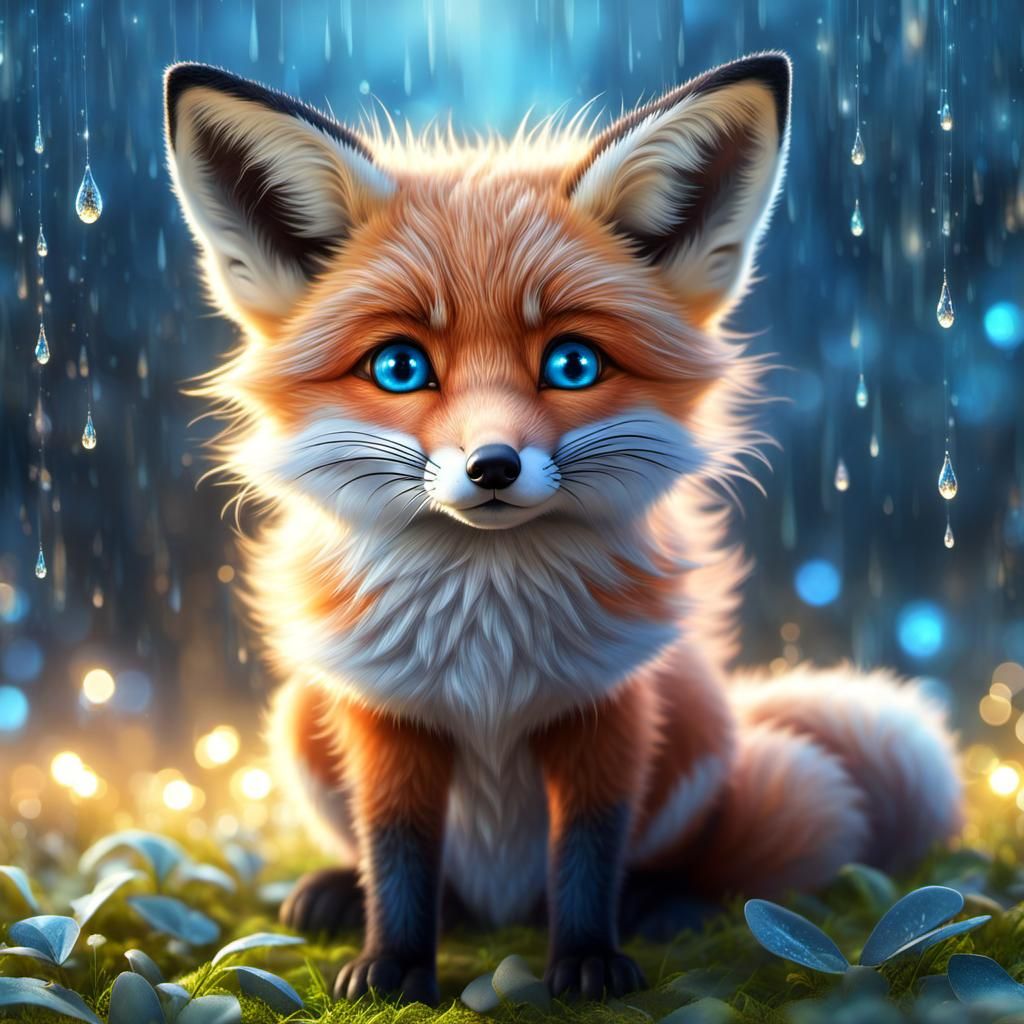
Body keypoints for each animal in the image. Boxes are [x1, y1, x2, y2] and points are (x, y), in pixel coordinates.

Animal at [163, 53, 963, 1004]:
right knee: (439, 884)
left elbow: (588, 849)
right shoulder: (388, 714)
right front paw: (392, 963)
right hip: (298, 716)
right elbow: (398, 850)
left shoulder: (607, 708)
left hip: (700, 722)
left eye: (573, 364)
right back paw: (338, 894)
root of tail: (506, 906)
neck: (487, 642)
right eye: (398, 367)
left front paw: (586, 961)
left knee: (700, 861)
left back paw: (664, 903)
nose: (493, 467)